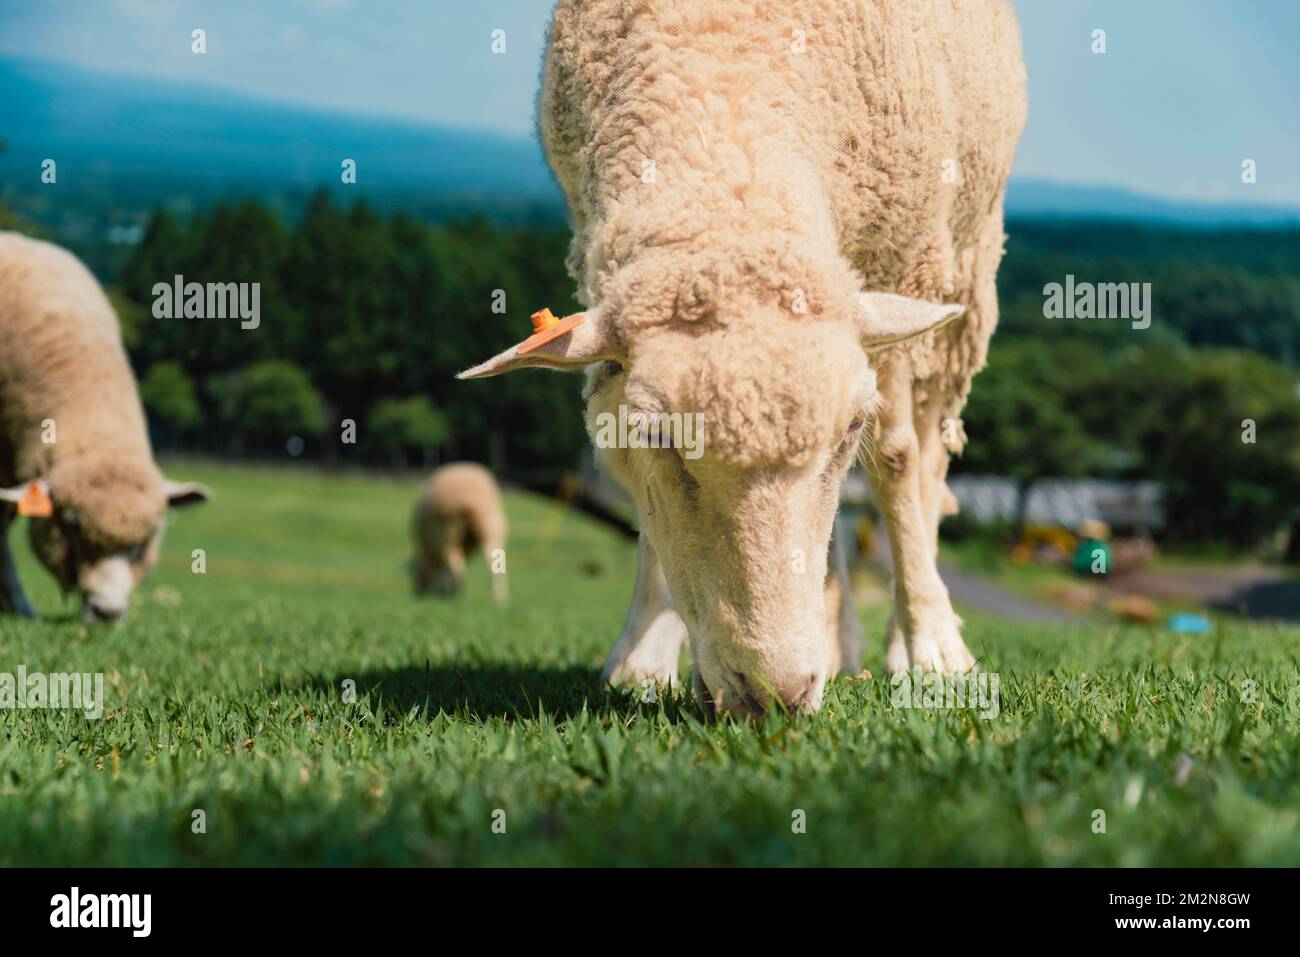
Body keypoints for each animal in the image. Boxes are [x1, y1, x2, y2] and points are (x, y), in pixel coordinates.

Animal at [410, 462, 506, 605]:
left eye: (417, 572)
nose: (418, 593)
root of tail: (468, 500)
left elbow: (443, 572)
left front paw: (443, 592)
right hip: (490, 527)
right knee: (493, 563)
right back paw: (499, 598)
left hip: (445, 534)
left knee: (456, 565)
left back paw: (457, 596)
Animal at [460, 0, 1024, 712]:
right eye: (655, 433)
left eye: (853, 429)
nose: (775, 694)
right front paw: (643, 653)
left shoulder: (901, 256)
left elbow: (895, 461)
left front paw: (935, 652)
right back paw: (835, 639)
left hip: (962, 272)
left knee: (926, 462)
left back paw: (913, 637)